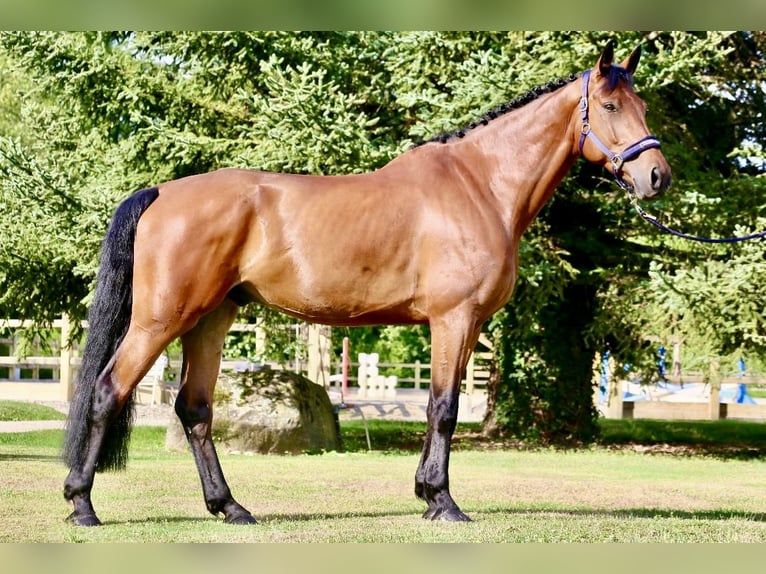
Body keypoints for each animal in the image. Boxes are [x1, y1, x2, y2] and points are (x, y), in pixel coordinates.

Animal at [62, 40, 671, 525]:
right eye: (611, 106)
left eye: (642, 107)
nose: (657, 176)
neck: (480, 185)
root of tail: (162, 192)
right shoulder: (453, 319)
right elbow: (444, 408)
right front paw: (442, 502)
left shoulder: (463, 325)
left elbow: (440, 406)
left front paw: (427, 494)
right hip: (160, 319)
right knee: (107, 392)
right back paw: (83, 504)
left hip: (211, 318)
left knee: (194, 409)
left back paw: (230, 508)